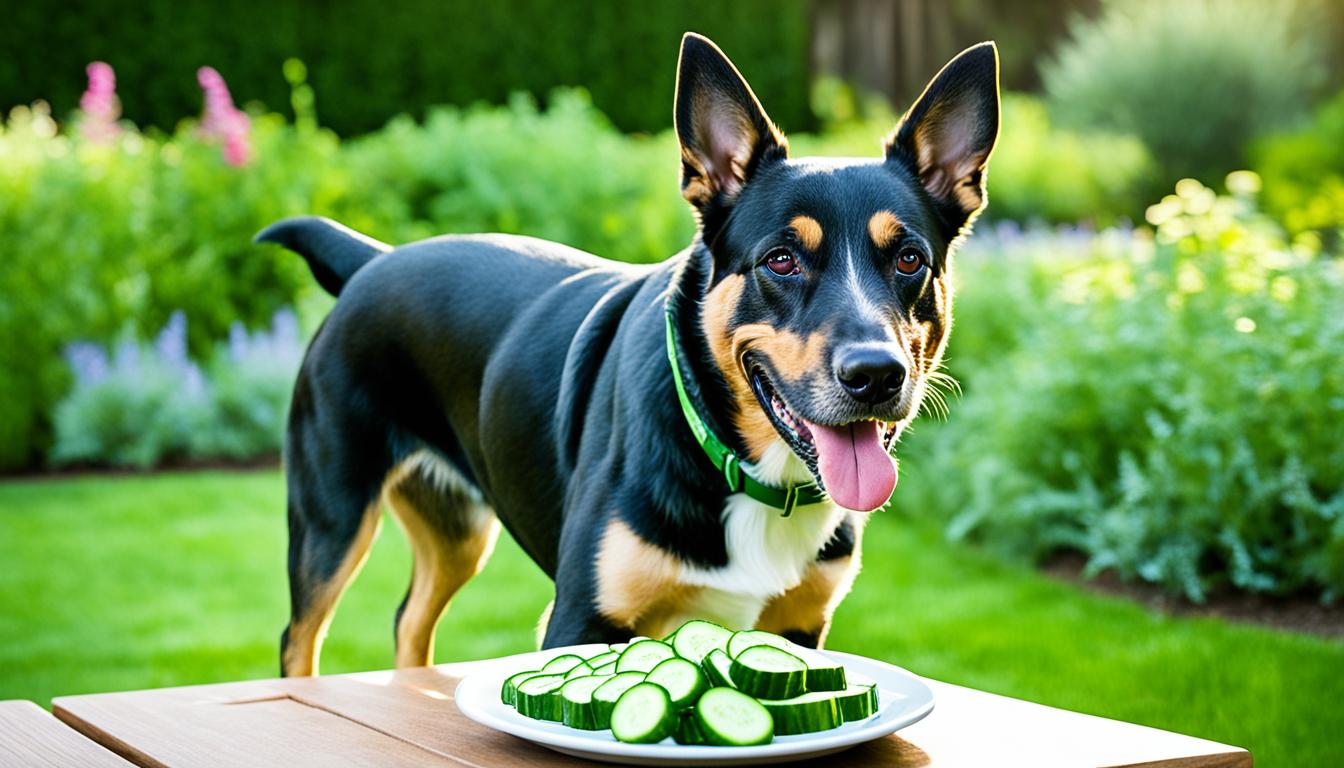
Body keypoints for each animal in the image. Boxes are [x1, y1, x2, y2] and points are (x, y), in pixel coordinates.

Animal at [259, 33, 999, 675]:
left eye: (909, 260)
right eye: (781, 260)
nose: (876, 374)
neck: (739, 466)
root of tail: (373, 259)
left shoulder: (799, 628)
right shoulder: (581, 619)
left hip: (458, 533)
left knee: (410, 621)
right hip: (331, 517)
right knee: (300, 638)